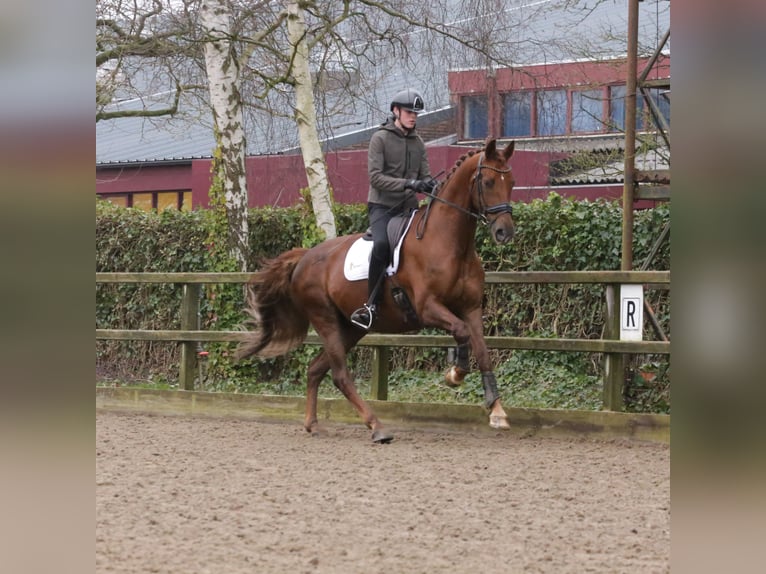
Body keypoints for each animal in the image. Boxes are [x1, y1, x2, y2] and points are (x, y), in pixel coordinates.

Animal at [237, 137, 520, 444]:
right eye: (488, 182)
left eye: (511, 182)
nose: (505, 232)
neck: (451, 243)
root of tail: (305, 257)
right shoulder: (428, 308)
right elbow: (461, 332)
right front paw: (455, 374)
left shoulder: (471, 308)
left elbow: (483, 351)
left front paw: (497, 411)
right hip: (325, 319)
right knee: (340, 375)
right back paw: (377, 426)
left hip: (351, 328)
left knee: (315, 369)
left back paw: (313, 424)